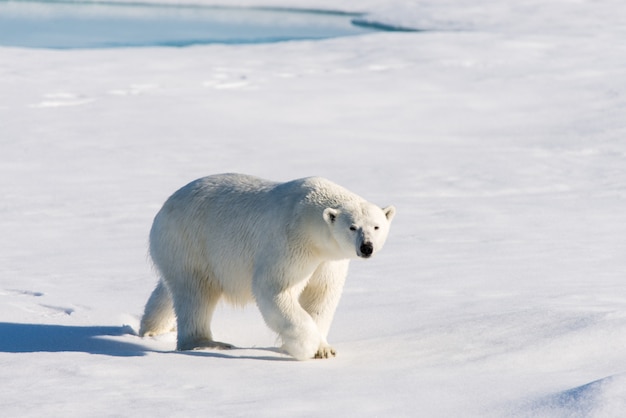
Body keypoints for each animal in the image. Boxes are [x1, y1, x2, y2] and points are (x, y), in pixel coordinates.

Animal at [140, 173, 394, 360]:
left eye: (376, 226)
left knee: (169, 288)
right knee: (196, 293)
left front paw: (324, 349)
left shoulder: (328, 260)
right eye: (352, 227)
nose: (367, 247)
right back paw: (209, 343)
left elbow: (320, 295)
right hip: (190, 240)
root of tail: (163, 210)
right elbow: (275, 288)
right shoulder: (292, 242)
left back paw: (151, 328)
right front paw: (306, 347)